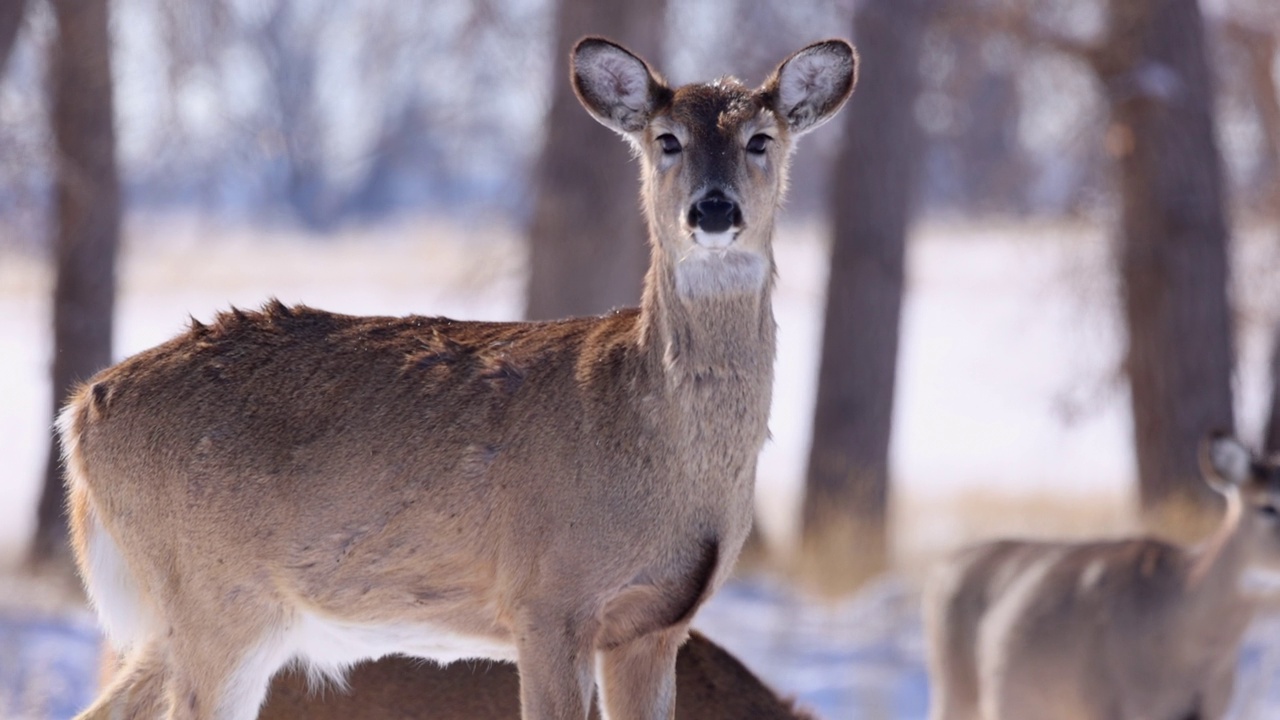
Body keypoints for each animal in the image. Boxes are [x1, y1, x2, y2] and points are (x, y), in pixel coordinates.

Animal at [62, 36, 860, 717]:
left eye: (761, 139)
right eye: (667, 139)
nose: (714, 208)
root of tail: (81, 409)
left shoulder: (656, 627)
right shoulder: (547, 599)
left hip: (196, 615)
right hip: (215, 595)